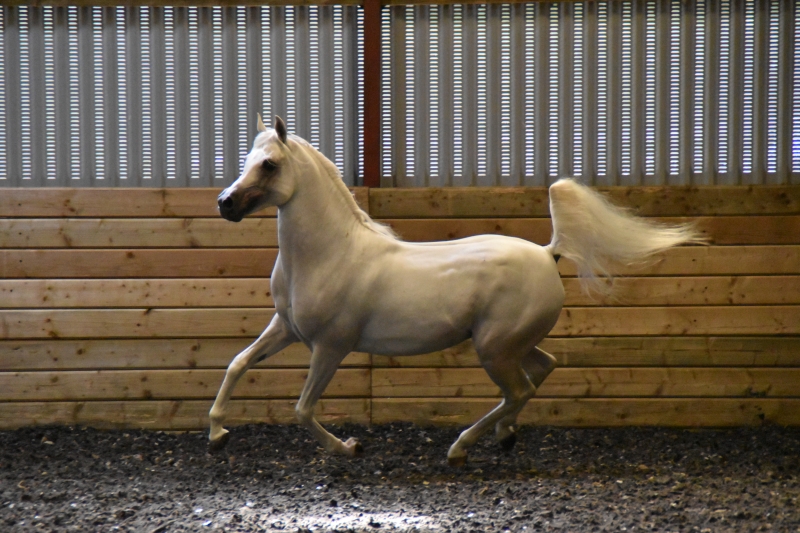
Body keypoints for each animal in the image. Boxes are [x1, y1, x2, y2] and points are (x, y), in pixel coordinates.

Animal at [209, 115, 704, 466]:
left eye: (269, 163)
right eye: (246, 158)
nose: (225, 204)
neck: (330, 253)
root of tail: (549, 253)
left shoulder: (330, 346)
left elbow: (303, 409)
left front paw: (349, 448)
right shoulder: (286, 328)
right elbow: (237, 364)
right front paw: (217, 434)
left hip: (494, 349)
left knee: (519, 390)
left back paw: (460, 448)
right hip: (511, 344)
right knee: (542, 369)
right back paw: (505, 436)